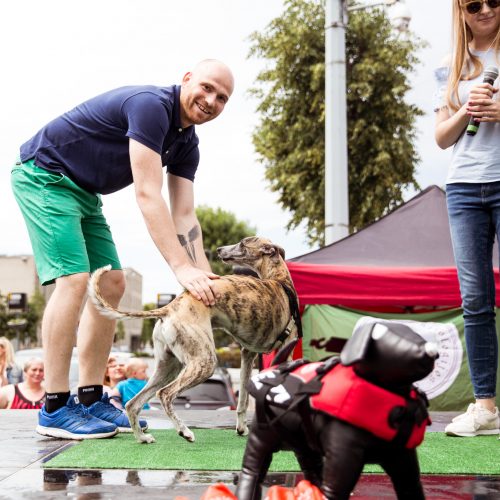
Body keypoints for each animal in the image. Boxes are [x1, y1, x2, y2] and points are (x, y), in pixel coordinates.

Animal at [88, 236, 300, 444]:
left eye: (242, 243)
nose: (219, 250)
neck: (279, 281)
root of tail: (169, 307)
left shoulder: (247, 355)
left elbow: (243, 399)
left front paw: (242, 428)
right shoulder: (282, 353)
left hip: (168, 366)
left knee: (133, 403)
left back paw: (142, 437)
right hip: (204, 362)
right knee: (165, 394)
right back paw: (184, 431)